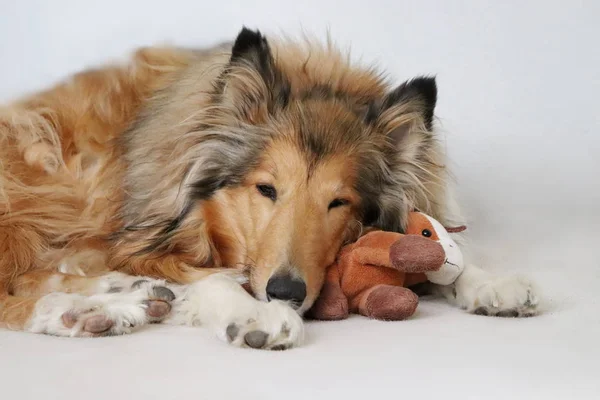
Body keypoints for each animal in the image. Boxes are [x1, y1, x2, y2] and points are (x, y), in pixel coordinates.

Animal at [0, 28, 536, 348]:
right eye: (266, 189)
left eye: (338, 202)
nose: (285, 293)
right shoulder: (140, 238)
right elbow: (212, 277)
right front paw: (253, 314)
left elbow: (442, 250)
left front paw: (492, 283)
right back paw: (87, 313)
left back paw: (125, 297)